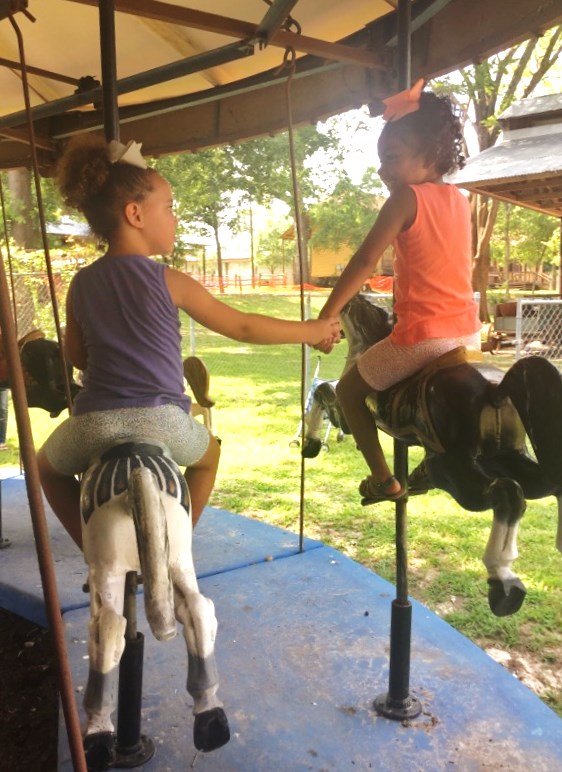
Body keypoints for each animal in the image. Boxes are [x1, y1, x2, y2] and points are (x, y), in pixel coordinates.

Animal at [80, 440, 230, 770]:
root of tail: (139, 475)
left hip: (106, 563)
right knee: (197, 608)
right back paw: (210, 717)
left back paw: (97, 738)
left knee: (108, 625)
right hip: (179, 554)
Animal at [303, 293, 562, 618]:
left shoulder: (347, 410)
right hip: (505, 455)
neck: (369, 338)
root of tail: (494, 388)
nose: (325, 336)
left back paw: (503, 580)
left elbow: (324, 392)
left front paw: (310, 443)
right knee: (546, 486)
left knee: (507, 493)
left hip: (452, 469)